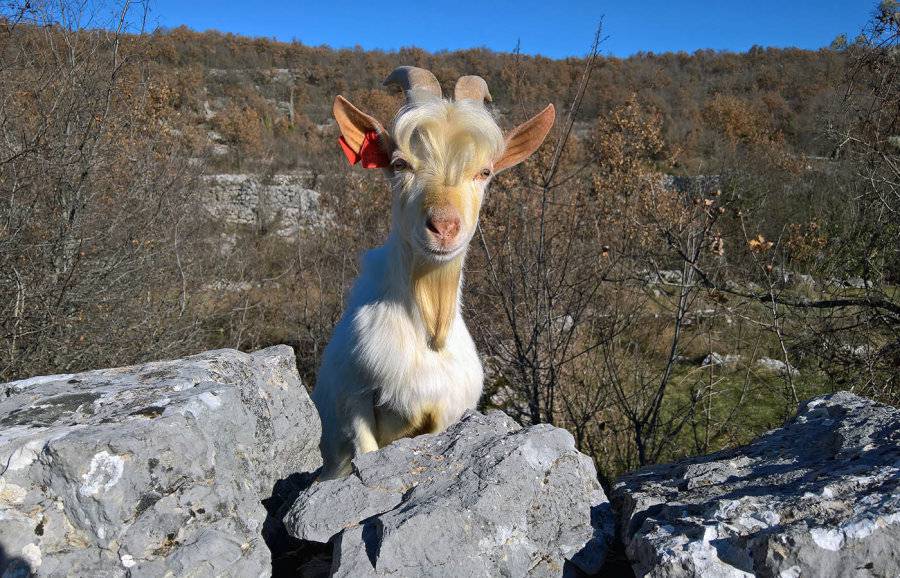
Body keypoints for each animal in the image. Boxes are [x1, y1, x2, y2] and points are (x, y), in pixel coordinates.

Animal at [314, 66, 556, 476]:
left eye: (485, 172)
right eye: (400, 164)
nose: (444, 227)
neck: (428, 330)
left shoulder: (444, 415)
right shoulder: (352, 402)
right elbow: (364, 446)